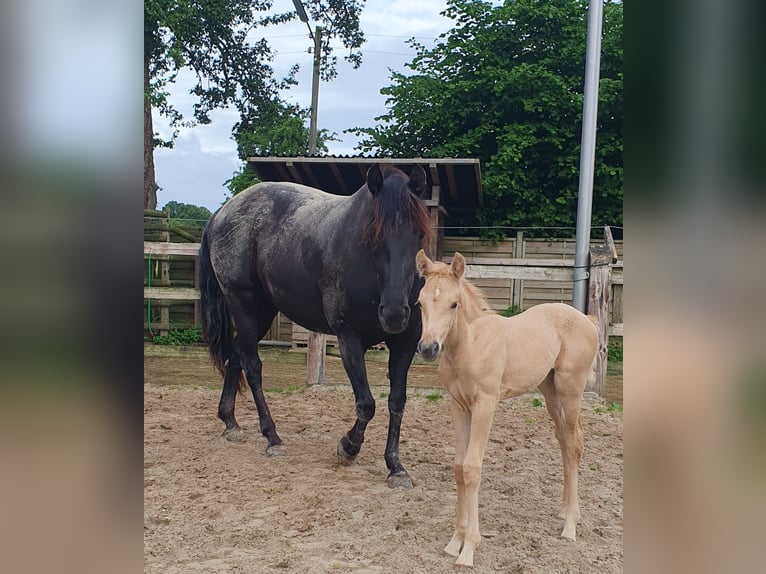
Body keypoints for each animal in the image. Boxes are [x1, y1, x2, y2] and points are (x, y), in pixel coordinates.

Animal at [200, 164, 432, 488]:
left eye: (418, 234)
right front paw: (348, 447)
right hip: (242, 303)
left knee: (236, 356)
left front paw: (395, 466)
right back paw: (273, 438)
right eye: (373, 236)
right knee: (252, 365)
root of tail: (222, 213)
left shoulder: (405, 343)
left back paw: (230, 422)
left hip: (263, 311)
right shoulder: (349, 338)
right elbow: (366, 403)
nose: (395, 314)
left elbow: (396, 401)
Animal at [414, 251, 600, 568]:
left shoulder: (485, 405)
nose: (428, 349)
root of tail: (586, 319)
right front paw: (454, 543)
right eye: (420, 302)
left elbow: (472, 468)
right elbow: (459, 467)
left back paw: (570, 526)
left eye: (454, 303)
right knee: (564, 442)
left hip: (570, 389)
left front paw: (469, 549)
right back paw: (564, 511)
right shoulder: (458, 405)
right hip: (550, 392)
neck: (471, 344)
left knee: (575, 443)